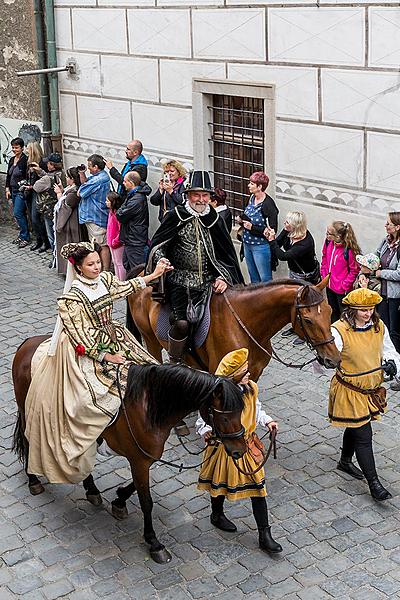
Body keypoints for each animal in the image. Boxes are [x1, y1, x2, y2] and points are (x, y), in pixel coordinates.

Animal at [12, 352, 245, 564]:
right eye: (225, 417)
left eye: (241, 410)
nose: (240, 451)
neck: (150, 406)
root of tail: (25, 347)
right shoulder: (139, 461)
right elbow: (146, 501)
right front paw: (154, 542)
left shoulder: (145, 458)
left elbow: (134, 487)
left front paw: (119, 500)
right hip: (27, 411)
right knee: (28, 441)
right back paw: (33, 480)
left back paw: (91, 490)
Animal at [128, 274, 340, 378]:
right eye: (308, 320)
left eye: (330, 312)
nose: (334, 359)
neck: (247, 327)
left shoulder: (254, 373)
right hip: (151, 340)